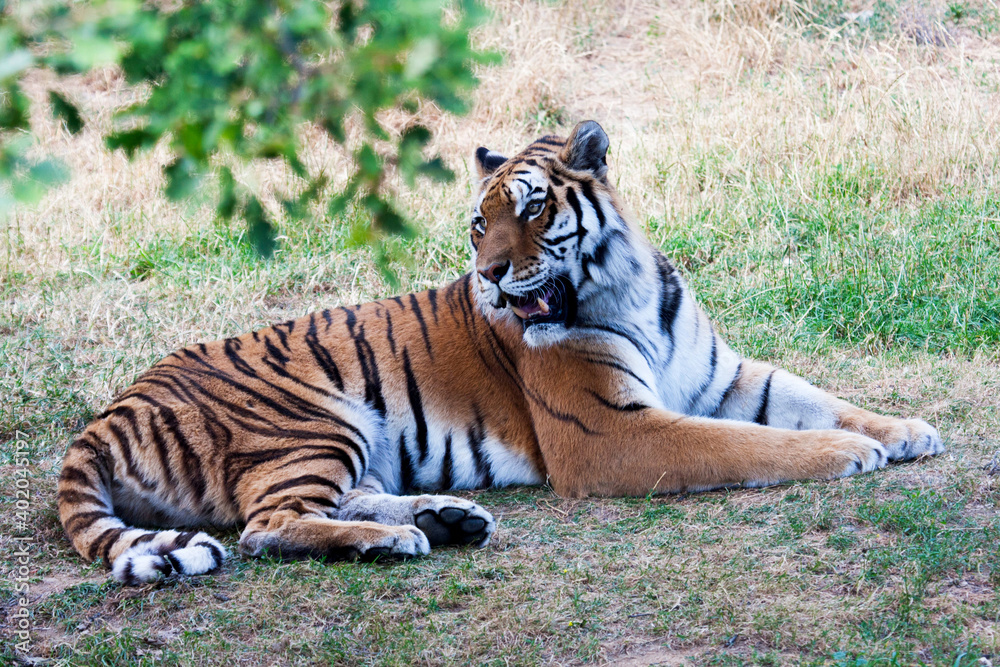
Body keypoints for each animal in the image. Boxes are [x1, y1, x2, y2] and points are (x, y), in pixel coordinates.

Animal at [58, 120, 944, 584]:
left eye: (532, 209)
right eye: (480, 225)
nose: (487, 275)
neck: (622, 288)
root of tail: (109, 411)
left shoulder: (721, 376)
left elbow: (806, 395)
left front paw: (905, 429)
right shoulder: (611, 432)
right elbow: (746, 442)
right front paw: (847, 452)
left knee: (326, 501)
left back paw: (445, 517)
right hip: (313, 419)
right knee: (266, 523)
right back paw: (394, 539)